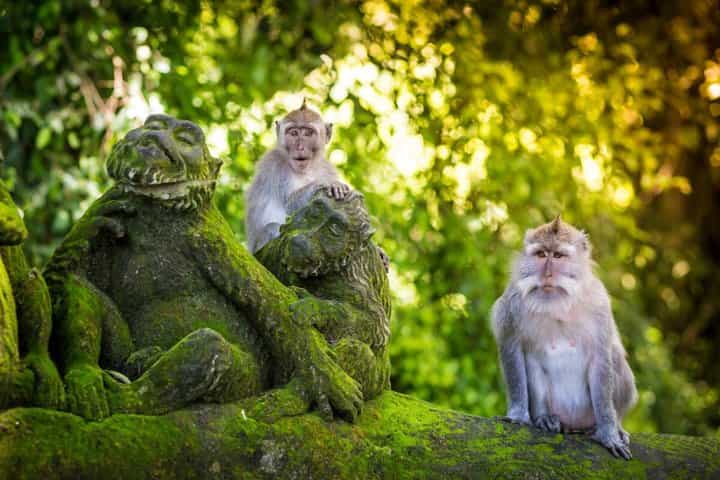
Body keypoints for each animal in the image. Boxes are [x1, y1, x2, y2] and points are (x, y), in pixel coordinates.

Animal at [245, 100, 350, 254]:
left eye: (308, 133)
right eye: (293, 133)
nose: (300, 147)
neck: (305, 170)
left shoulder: (327, 168)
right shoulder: (274, 165)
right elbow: (289, 205)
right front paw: (328, 183)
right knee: (273, 227)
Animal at [491, 216, 637, 460]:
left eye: (558, 256)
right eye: (541, 254)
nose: (547, 275)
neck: (557, 304)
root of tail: (573, 424)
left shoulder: (599, 304)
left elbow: (601, 358)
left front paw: (608, 433)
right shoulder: (512, 305)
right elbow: (512, 349)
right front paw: (518, 415)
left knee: (615, 356)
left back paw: (612, 425)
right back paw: (545, 418)